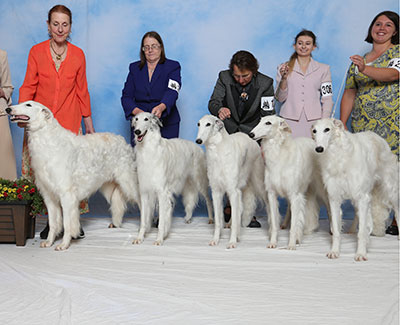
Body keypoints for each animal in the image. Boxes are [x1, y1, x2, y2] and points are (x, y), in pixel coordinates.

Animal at [5, 101, 141, 251]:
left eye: (28, 105)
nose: (7, 109)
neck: (47, 138)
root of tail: (121, 139)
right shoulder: (49, 196)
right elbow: (53, 223)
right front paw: (49, 242)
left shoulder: (66, 195)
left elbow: (67, 223)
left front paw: (64, 244)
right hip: (108, 186)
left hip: (128, 182)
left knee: (143, 204)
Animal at [132, 112, 214, 244]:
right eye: (136, 119)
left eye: (146, 119)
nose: (137, 131)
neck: (149, 149)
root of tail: (196, 146)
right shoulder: (144, 191)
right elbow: (144, 220)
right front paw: (139, 238)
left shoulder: (162, 192)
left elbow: (162, 221)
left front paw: (159, 239)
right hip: (188, 183)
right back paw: (188, 218)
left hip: (200, 181)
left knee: (208, 200)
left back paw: (211, 219)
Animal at [195, 114, 268, 248]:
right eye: (199, 124)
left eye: (208, 124)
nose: (198, 141)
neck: (217, 151)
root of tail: (248, 137)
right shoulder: (217, 192)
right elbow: (219, 221)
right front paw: (215, 240)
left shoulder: (232, 190)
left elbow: (235, 218)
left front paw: (232, 242)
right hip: (238, 191)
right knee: (239, 209)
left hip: (257, 184)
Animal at [250, 115, 322, 249]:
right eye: (259, 121)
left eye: (268, 123)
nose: (251, 134)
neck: (279, 154)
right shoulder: (271, 194)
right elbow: (274, 223)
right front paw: (273, 243)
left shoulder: (295, 195)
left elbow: (294, 225)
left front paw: (292, 244)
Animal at [314, 117, 398, 260]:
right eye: (314, 131)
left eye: (327, 129)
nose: (319, 149)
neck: (339, 156)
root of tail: (377, 137)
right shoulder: (334, 198)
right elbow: (336, 230)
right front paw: (334, 251)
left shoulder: (362, 197)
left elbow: (362, 232)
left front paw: (361, 253)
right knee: (358, 214)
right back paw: (352, 230)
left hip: (389, 188)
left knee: (397, 210)